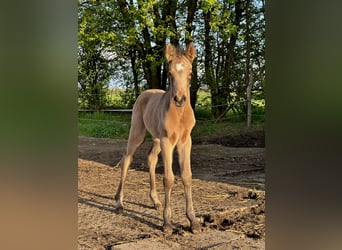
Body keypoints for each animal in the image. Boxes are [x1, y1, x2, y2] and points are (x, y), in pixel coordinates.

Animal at [115, 42, 200, 234]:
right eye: (169, 73)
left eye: (191, 73)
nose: (179, 99)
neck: (179, 114)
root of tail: (145, 92)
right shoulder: (167, 141)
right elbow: (168, 178)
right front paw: (167, 223)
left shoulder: (185, 141)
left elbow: (187, 175)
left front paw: (193, 221)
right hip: (138, 133)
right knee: (126, 159)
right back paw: (119, 202)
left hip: (156, 138)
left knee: (151, 158)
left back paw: (155, 200)